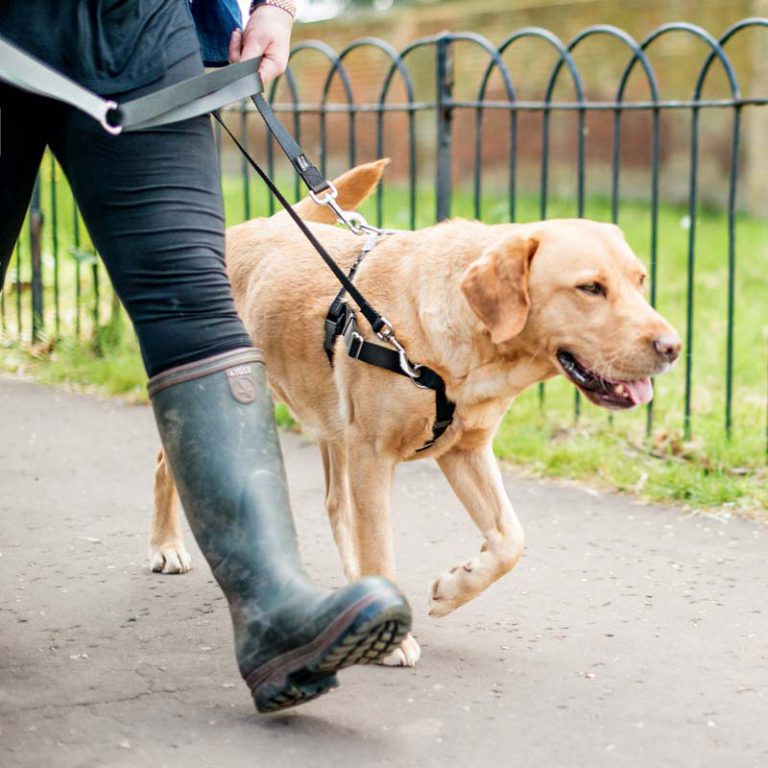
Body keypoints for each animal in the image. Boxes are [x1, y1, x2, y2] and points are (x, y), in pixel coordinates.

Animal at [147, 159, 680, 664]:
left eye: (641, 280)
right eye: (590, 288)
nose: (672, 347)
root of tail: (261, 223)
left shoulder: (465, 451)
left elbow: (511, 539)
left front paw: (455, 587)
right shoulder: (373, 455)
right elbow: (381, 545)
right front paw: (393, 641)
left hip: (333, 425)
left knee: (337, 504)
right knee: (165, 464)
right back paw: (166, 545)